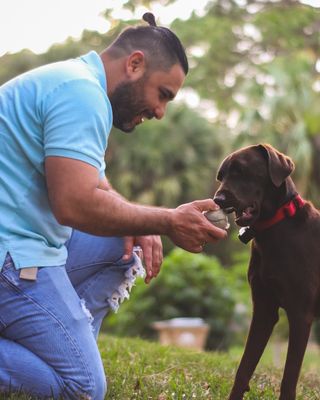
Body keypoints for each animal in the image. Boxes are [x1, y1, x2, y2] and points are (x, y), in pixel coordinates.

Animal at [214, 144, 320, 400]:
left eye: (241, 171)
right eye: (221, 176)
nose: (217, 199)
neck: (275, 228)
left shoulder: (301, 314)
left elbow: (289, 377)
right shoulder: (263, 309)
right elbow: (244, 368)